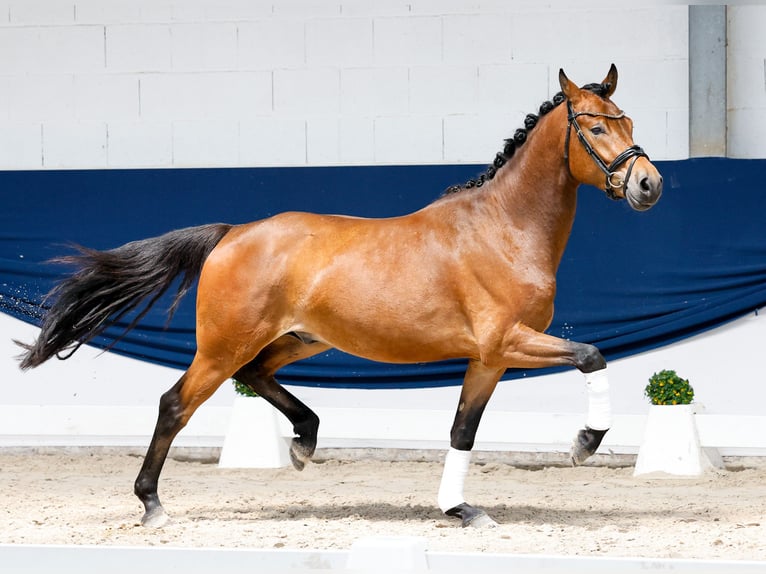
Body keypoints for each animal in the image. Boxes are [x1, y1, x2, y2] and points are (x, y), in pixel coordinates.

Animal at [16, 65, 662, 529]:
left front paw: (460, 510)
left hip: (298, 340)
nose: (649, 184)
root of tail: (233, 232)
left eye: (630, 123)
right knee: (176, 403)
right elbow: (592, 356)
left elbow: (462, 432)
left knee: (255, 374)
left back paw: (305, 440)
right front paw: (584, 444)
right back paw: (152, 504)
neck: (503, 227)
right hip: (223, 345)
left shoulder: (489, 358)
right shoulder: (508, 341)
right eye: (596, 127)